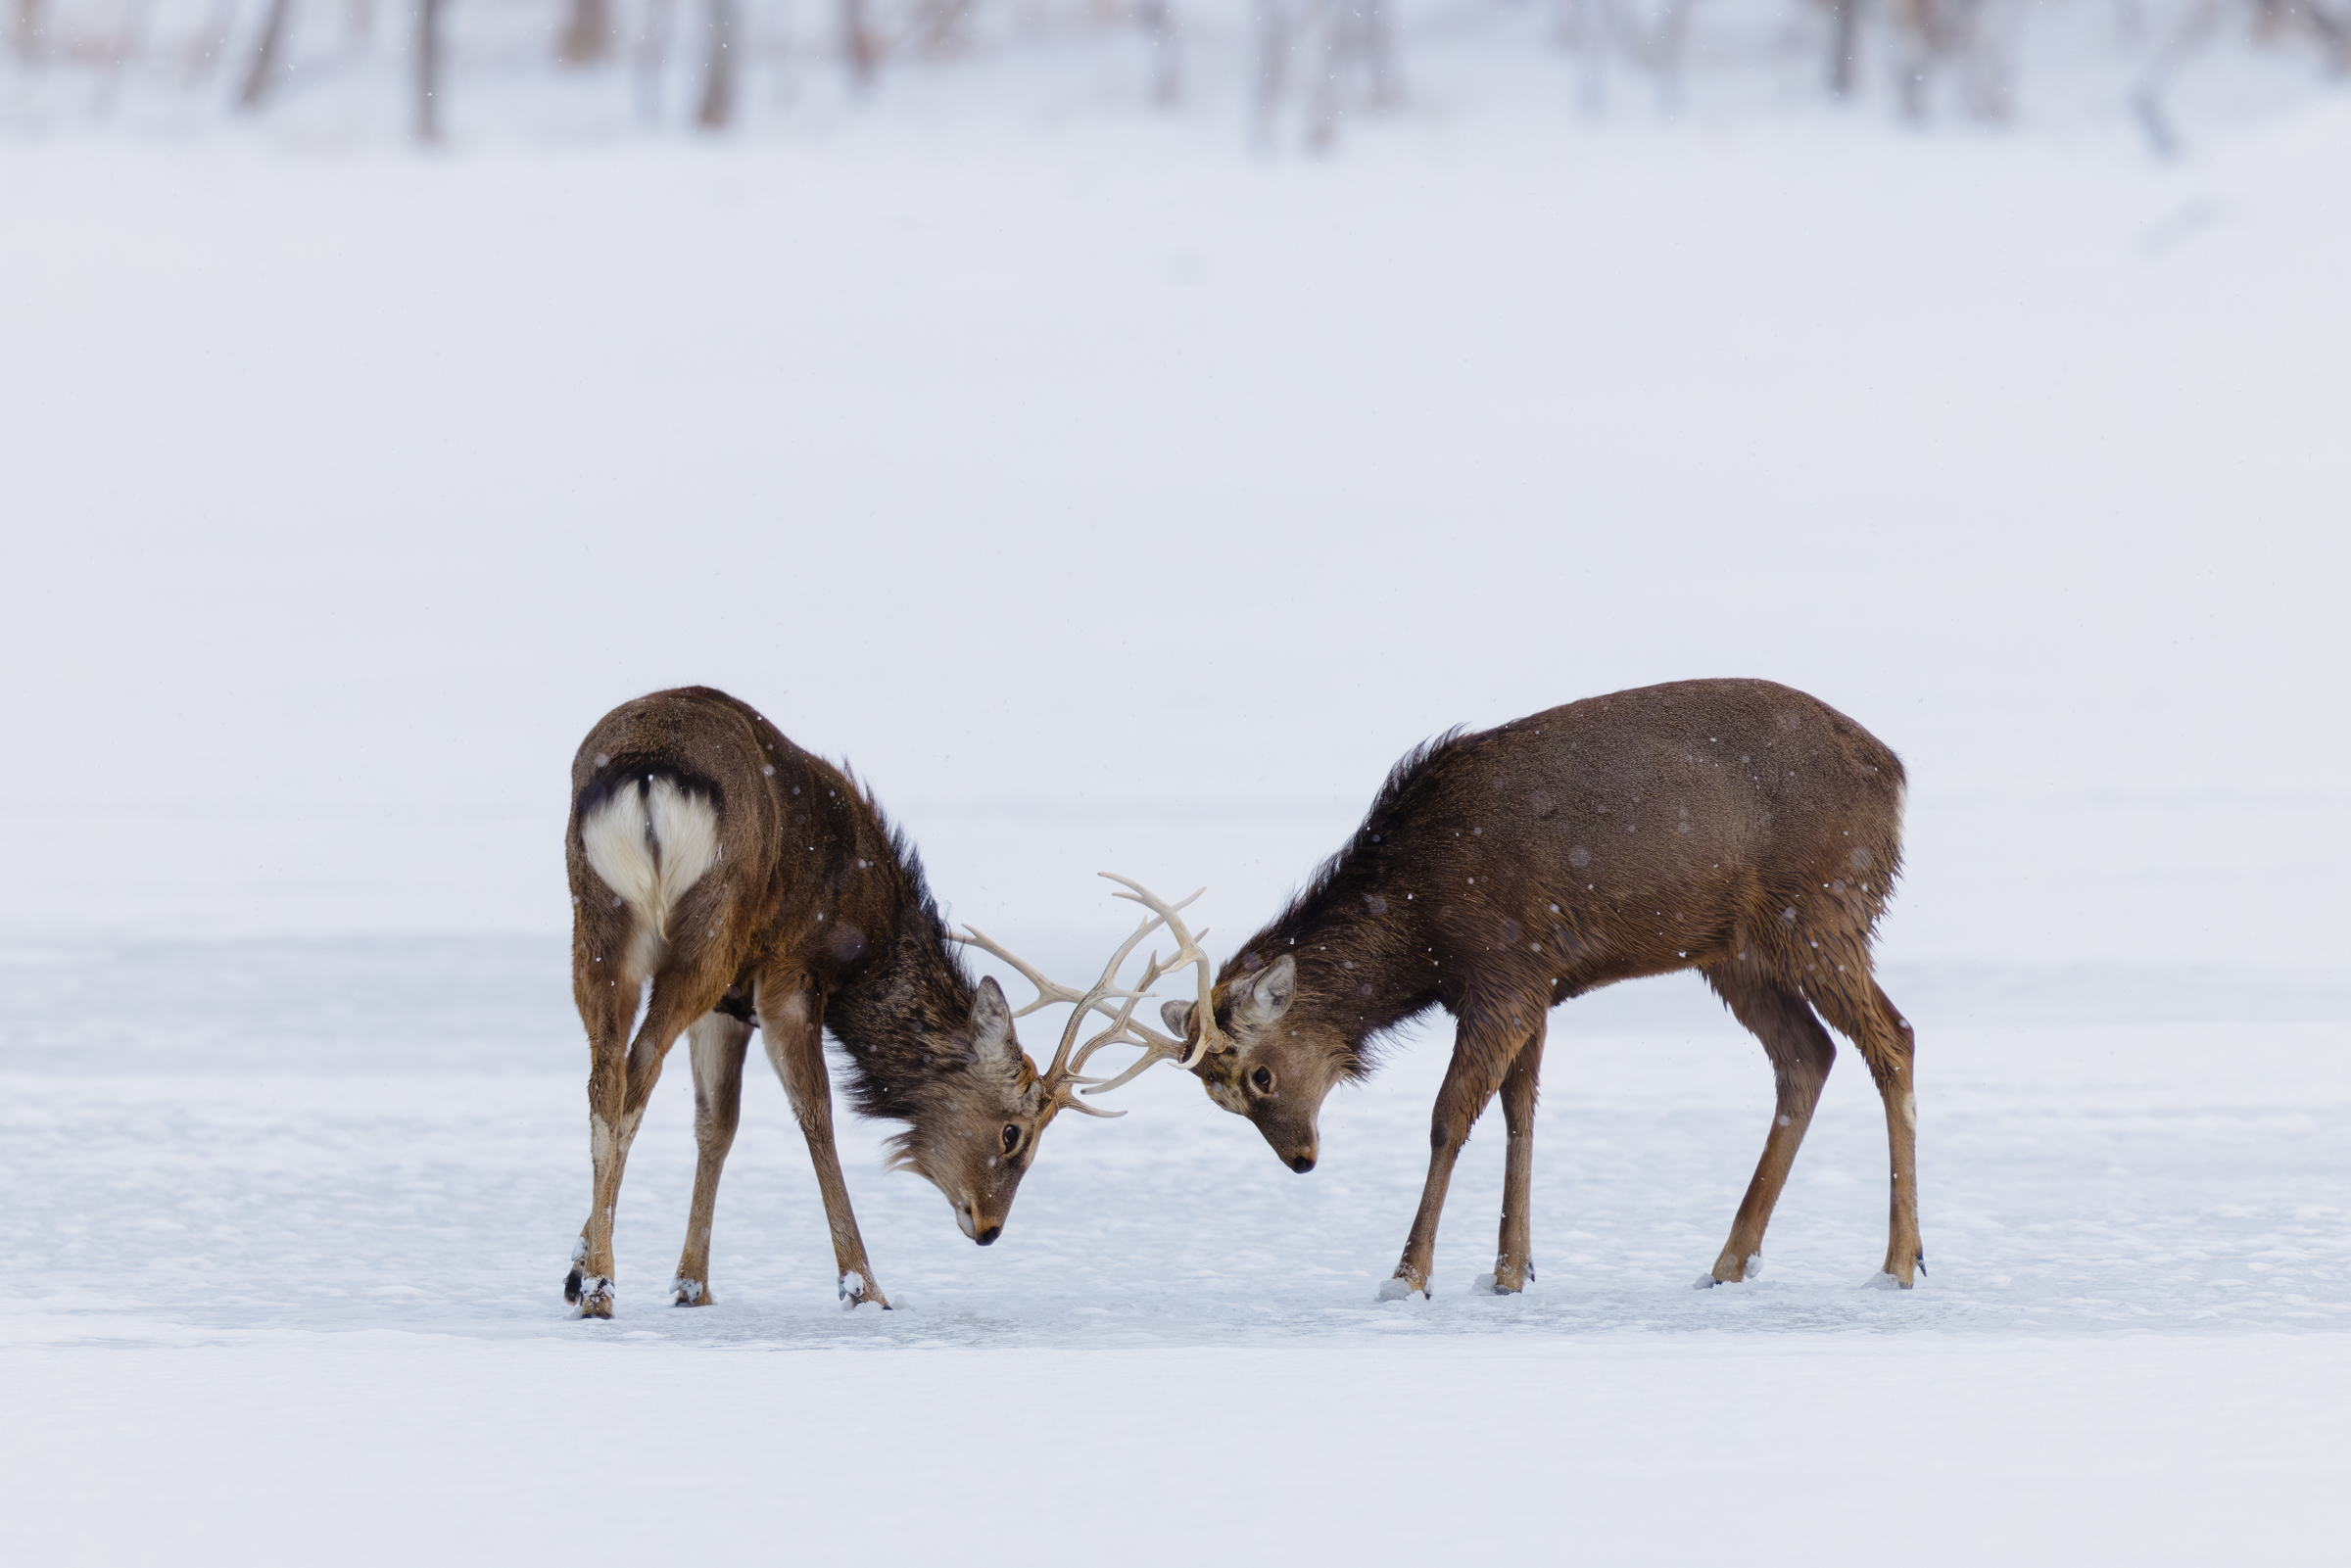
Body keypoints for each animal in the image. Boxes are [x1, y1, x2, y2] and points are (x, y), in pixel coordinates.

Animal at [561, 685, 1207, 1318]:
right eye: (1014, 1133)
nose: (989, 1228)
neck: (869, 947)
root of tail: (647, 774)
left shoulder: (729, 1001)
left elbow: (717, 1125)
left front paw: (684, 1283)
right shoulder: (790, 973)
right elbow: (816, 1114)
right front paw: (863, 1287)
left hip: (600, 920)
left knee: (608, 1075)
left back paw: (595, 1282)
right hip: (709, 927)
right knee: (640, 1063)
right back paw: (602, 1289)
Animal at [1129, 678, 1921, 1297]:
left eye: (1258, 1075)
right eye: (1215, 1097)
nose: (1300, 1158)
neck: (1418, 929)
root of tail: (1894, 772)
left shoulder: (1502, 970)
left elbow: (1449, 1116)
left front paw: (1409, 1277)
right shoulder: (1535, 982)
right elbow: (1521, 1112)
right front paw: (1510, 1271)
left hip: (1822, 908)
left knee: (1894, 1038)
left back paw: (1899, 1262)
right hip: (1735, 949)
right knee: (1807, 1054)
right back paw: (1730, 1262)